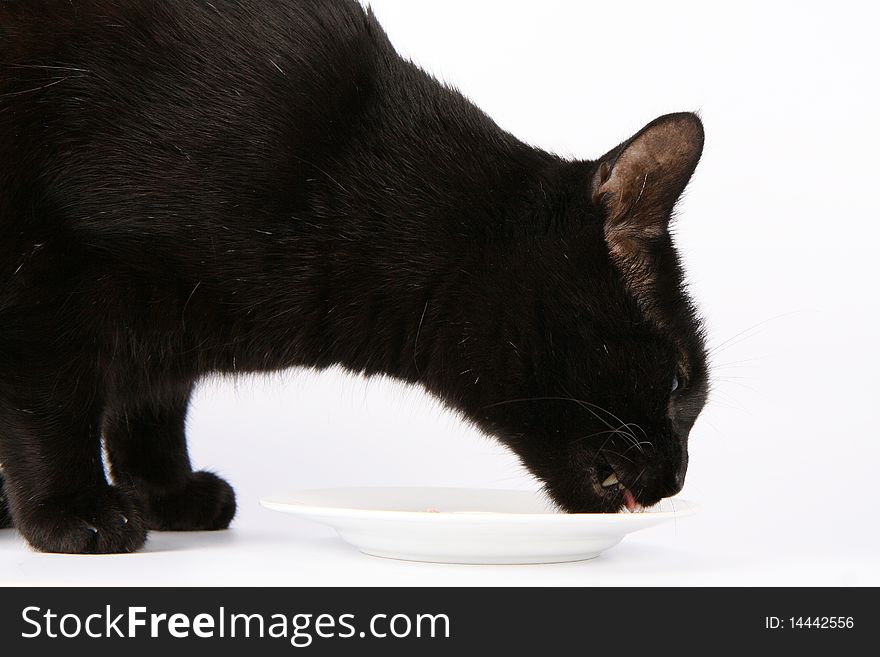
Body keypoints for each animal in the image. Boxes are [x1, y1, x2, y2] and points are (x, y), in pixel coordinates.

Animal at [0, 0, 708, 552]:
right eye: (679, 383)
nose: (678, 478)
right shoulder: (49, 273)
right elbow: (51, 405)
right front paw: (74, 511)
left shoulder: (165, 325)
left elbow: (151, 406)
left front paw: (165, 492)